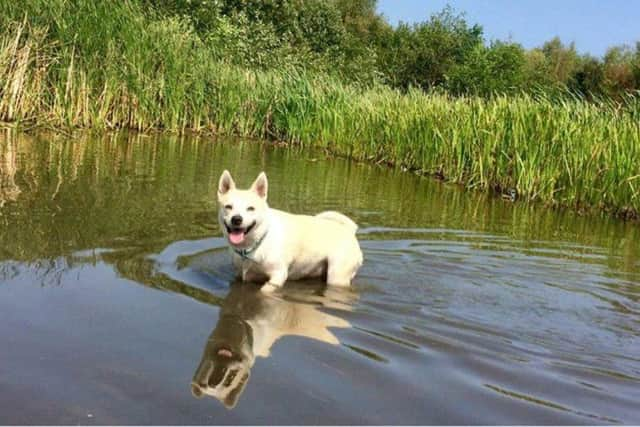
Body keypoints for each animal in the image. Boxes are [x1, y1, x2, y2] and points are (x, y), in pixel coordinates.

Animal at [218, 171, 362, 290]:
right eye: (228, 207)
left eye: (251, 208)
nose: (236, 219)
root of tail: (349, 230)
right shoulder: (241, 275)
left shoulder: (277, 276)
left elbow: (264, 291)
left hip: (337, 276)